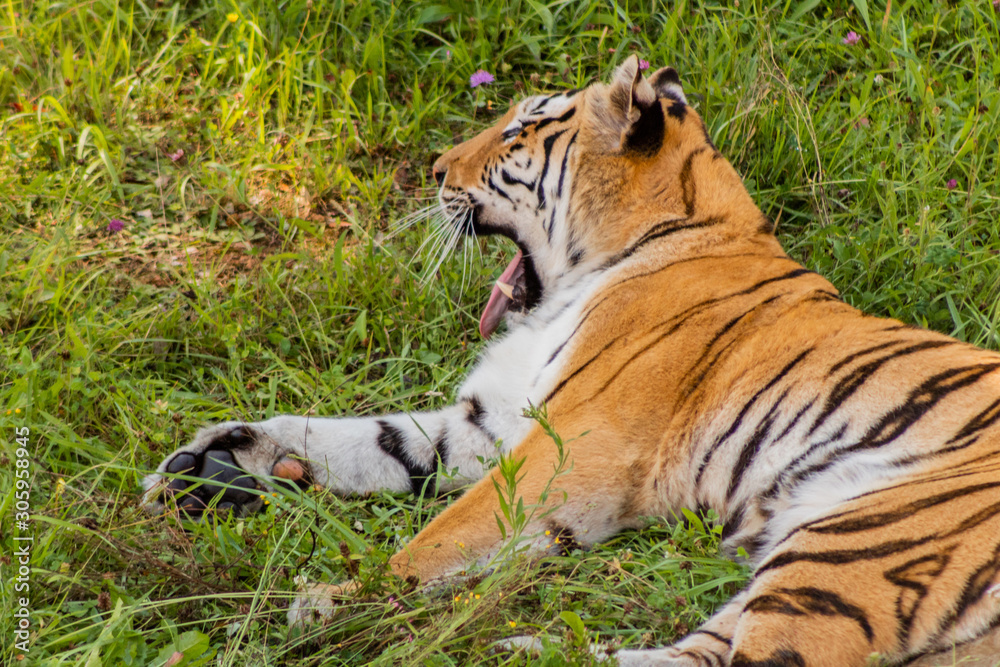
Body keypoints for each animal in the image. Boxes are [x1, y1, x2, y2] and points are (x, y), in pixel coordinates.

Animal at [142, 56, 1000, 666]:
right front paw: (216, 456)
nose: (434, 169)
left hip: (854, 543)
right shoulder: (486, 422)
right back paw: (527, 648)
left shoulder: (577, 446)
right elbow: (358, 439)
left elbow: (437, 538)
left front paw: (334, 599)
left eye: (516, 134)